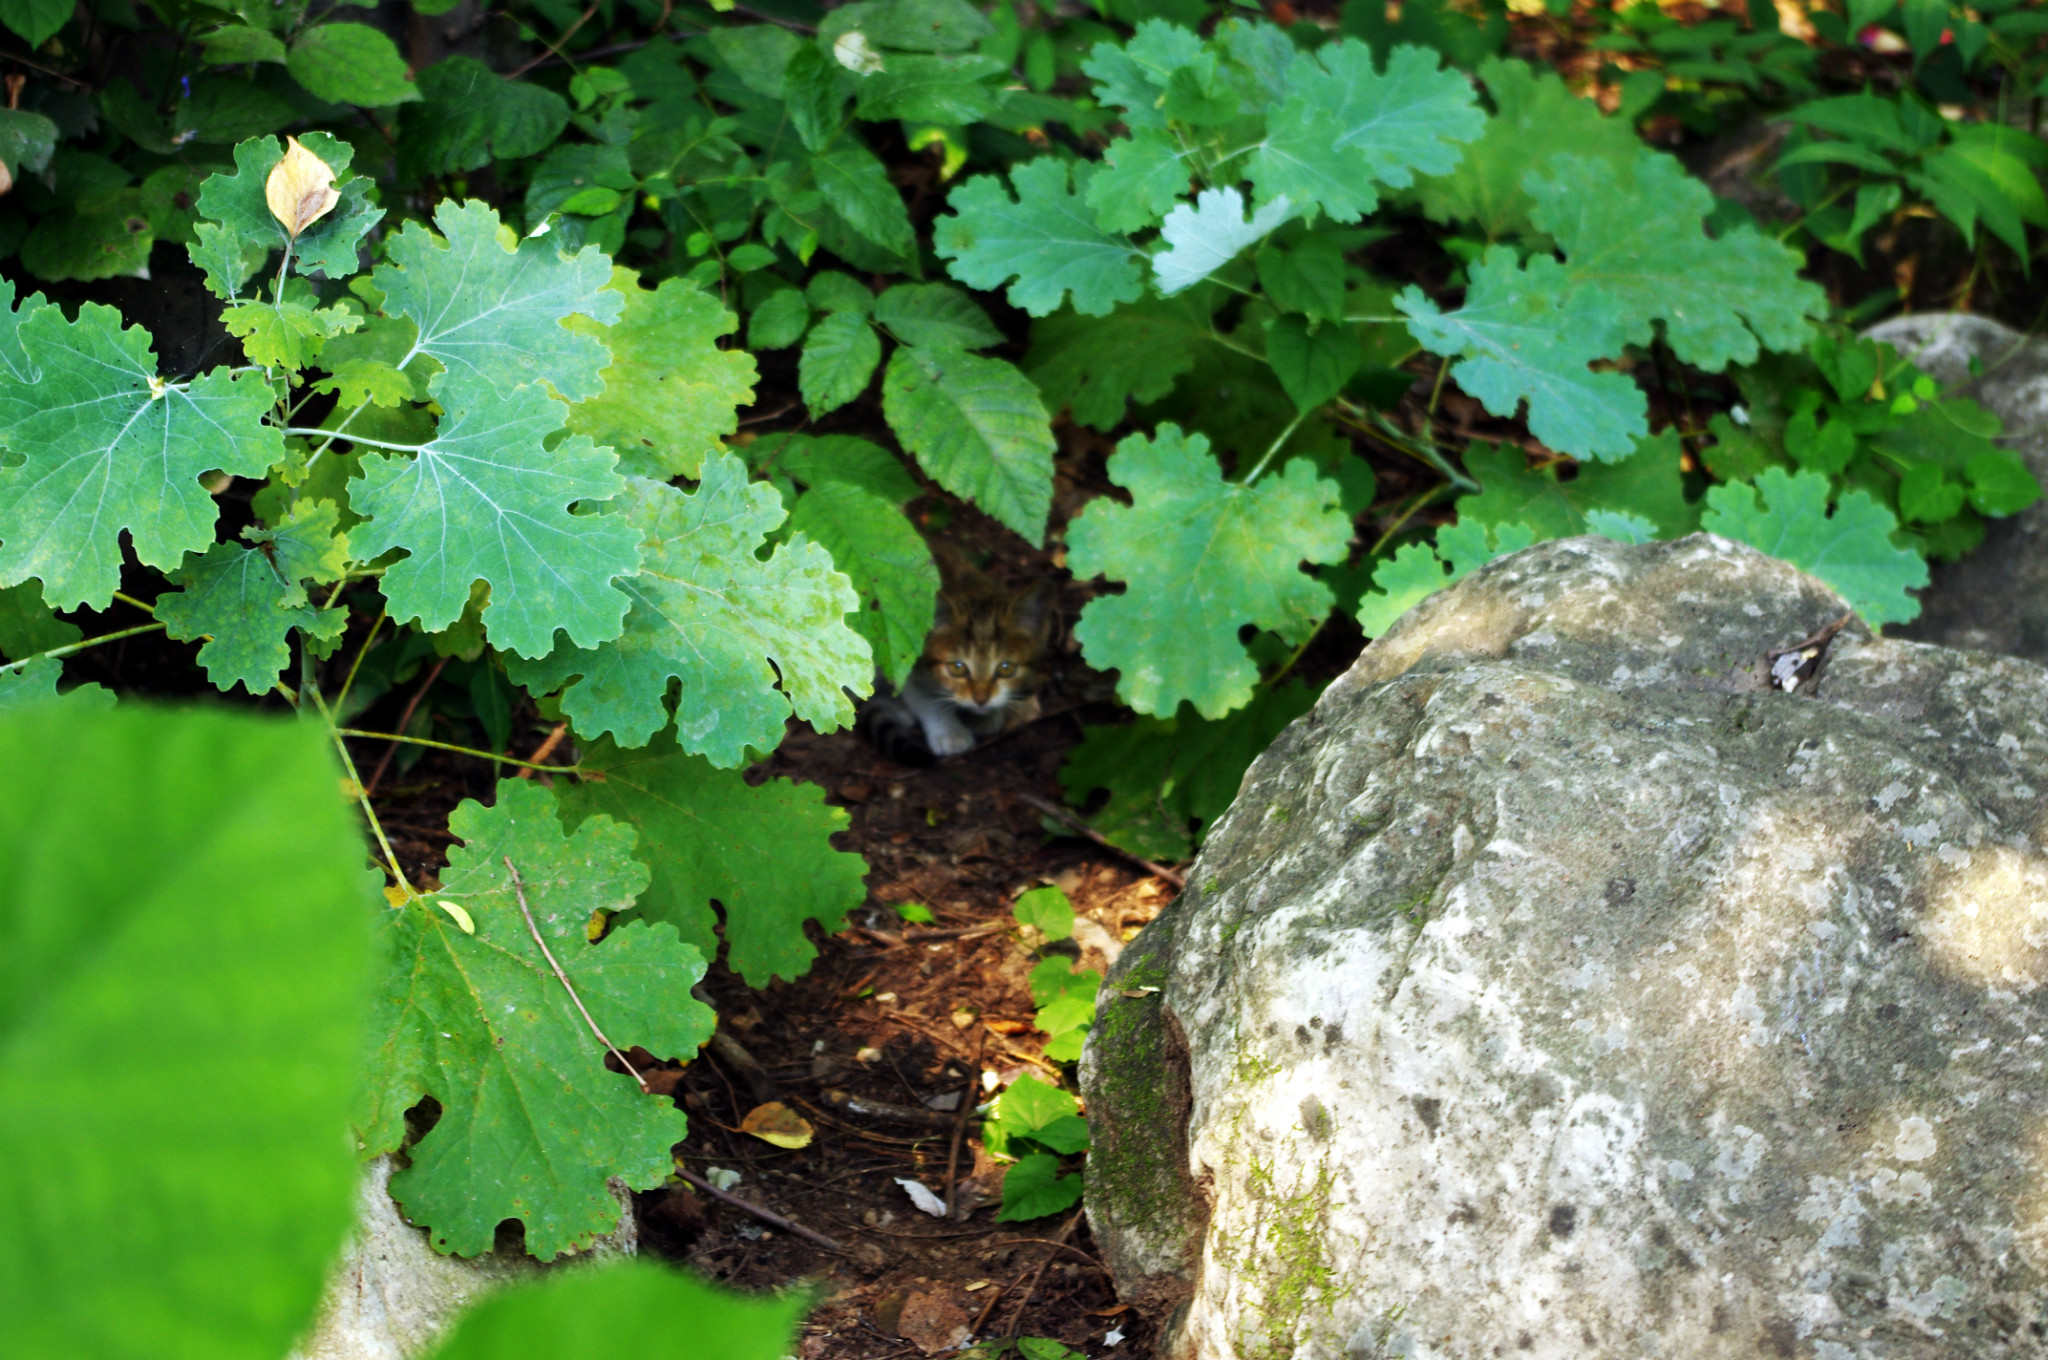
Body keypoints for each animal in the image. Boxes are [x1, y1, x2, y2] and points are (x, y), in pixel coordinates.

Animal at [859, 545, 1057, 763]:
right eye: (957, 668)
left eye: (1006, 669)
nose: (981, 700)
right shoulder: (907, 660)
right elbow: (923, 697)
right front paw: (950, 733)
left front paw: (986, 717)